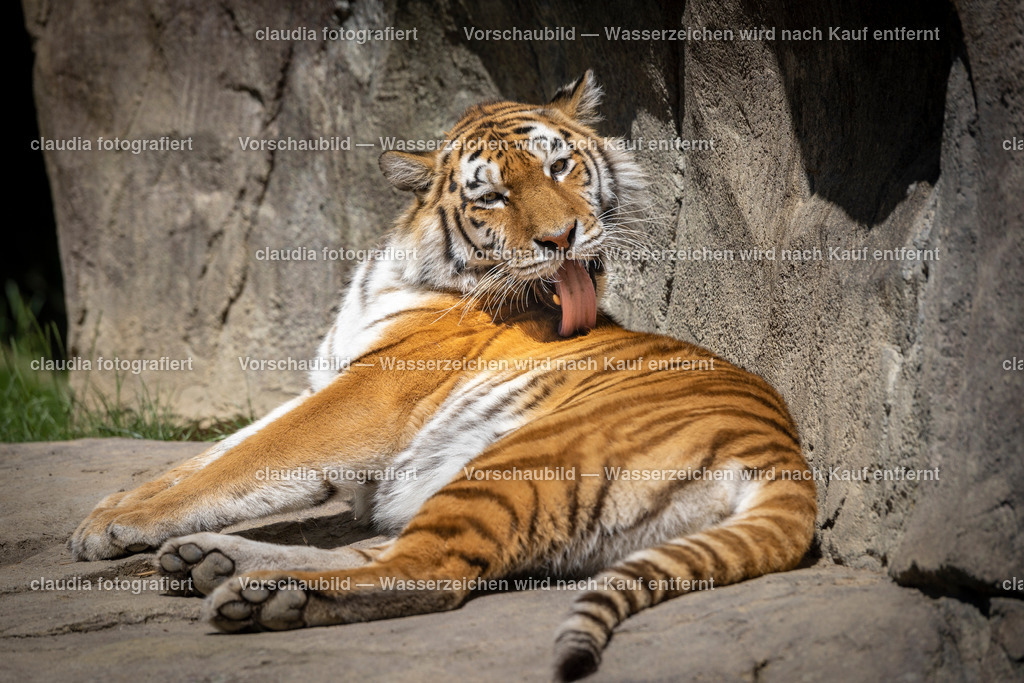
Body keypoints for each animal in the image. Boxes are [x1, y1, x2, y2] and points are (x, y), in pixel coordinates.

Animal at [69, 70, 816, 681]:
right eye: (493, 195)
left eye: (561, 166)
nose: (562, 238)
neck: (408, 269)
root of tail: (786, 459)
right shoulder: (328, 381)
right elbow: (213, 454)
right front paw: (111, 511)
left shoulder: (366, 395)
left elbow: (250, 456)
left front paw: (115, 526)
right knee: (389, 553)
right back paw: (211, 561)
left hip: (520, 456)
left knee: (429, 570)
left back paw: (268, 596)